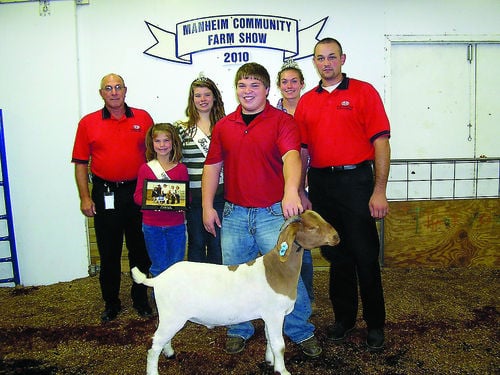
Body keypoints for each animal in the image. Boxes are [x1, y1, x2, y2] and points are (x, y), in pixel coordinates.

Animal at [132, 210, 340, 374]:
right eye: (312, 228)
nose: (336, 237)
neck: (277, 270)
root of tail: (158, 279)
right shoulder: (275, 314)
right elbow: (279, 344)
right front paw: (282, 370)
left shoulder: (268, 315)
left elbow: (269, 339)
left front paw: (270, 361)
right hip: (172, 316)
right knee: (154, 345)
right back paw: (154, 370)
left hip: (169, 317)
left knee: (161, 338)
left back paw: (169, 352)